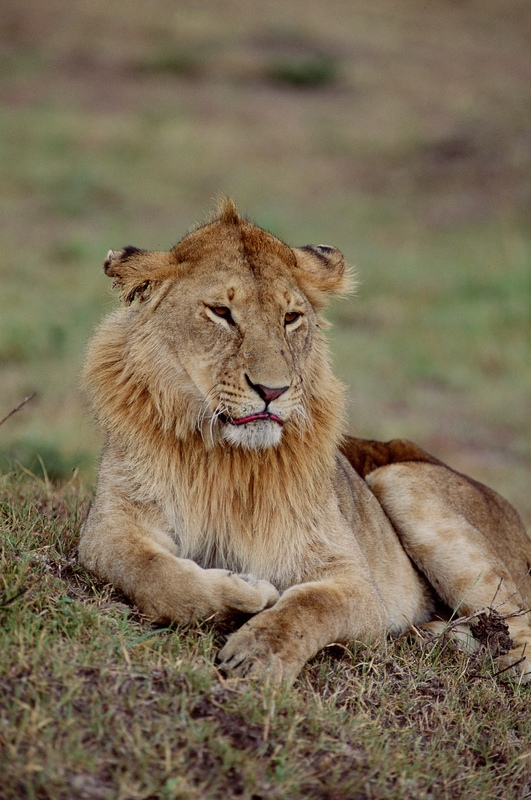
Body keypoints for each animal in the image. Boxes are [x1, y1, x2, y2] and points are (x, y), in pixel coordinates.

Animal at [79, 199, 531, 684]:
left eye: (290, 318)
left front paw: (258, 653)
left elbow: (311, 605)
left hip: (400, 479)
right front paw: (243, 590)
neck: (227, 458)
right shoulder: (111, 528)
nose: (272, 391)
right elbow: (154, 574)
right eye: (221, 312)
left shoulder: (357, 584)